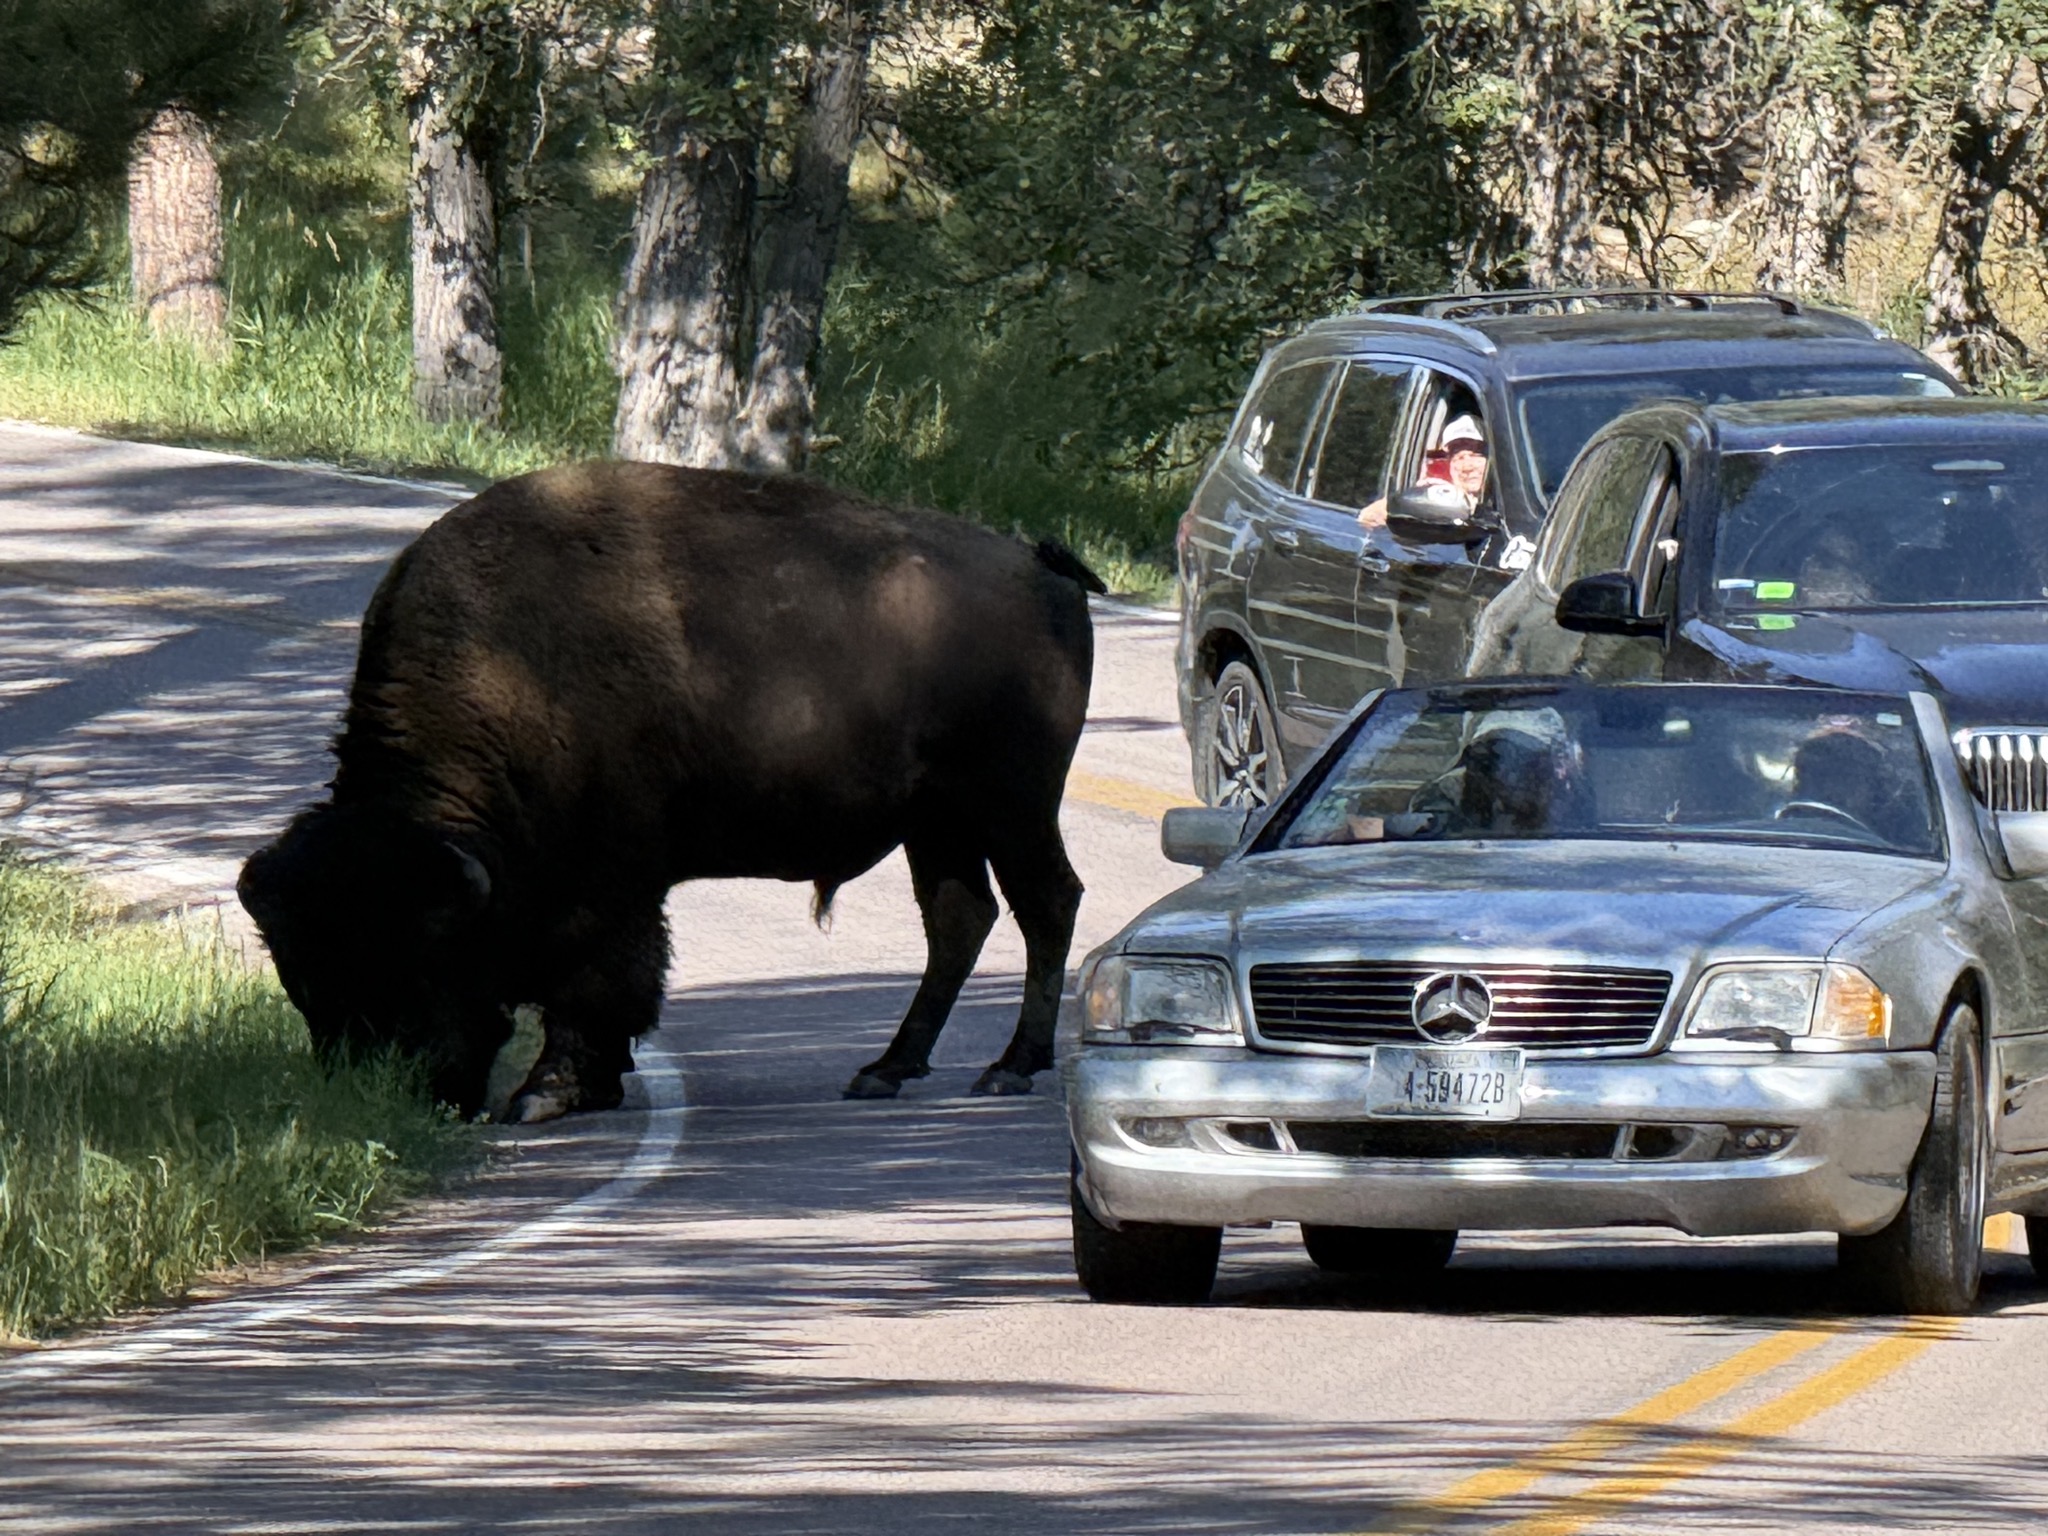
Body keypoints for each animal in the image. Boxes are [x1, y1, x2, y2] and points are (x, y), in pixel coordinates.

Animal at [238, 463, 1102, 1121]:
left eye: (420, 966)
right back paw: (884, 1070)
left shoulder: (610, 883)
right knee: (961, 920)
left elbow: (600, 978)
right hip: (938, 821)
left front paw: (548, 1093)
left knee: (1047, 903)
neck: (505, 674)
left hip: (1011, 802)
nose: (398, 1098)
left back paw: (1010, 1066)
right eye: (303, 984)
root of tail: (1039, 566)